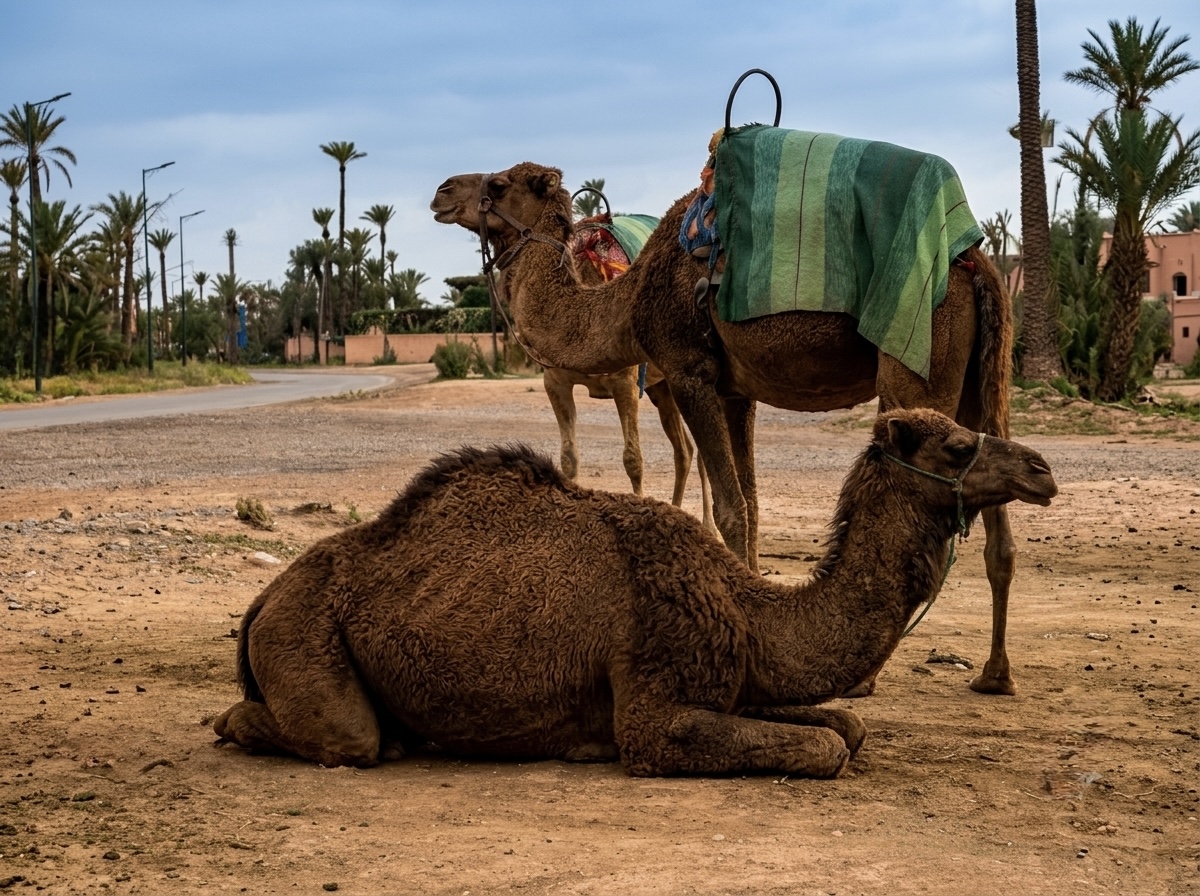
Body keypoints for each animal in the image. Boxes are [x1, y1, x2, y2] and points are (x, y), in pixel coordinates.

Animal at [213, 408, 1057, 775]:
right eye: (957, 444)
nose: (1042, 468)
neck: (746, 606)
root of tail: (261, 601)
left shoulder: (731, 679)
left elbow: (845, 724)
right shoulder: (656, 702)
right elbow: (823, 747)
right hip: (304, 634)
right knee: (345, 737)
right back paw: (247, 724)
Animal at [429, 162, 1023, 696]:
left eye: (499, 182)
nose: (442, 191)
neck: (629, 298)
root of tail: (978, 265)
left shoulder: (689, 369)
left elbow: (730, 508)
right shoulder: (738, 391)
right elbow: (753, 503)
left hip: (918, 366)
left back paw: (868, 680)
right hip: (982, 381)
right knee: (997, 513)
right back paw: (995, 674)